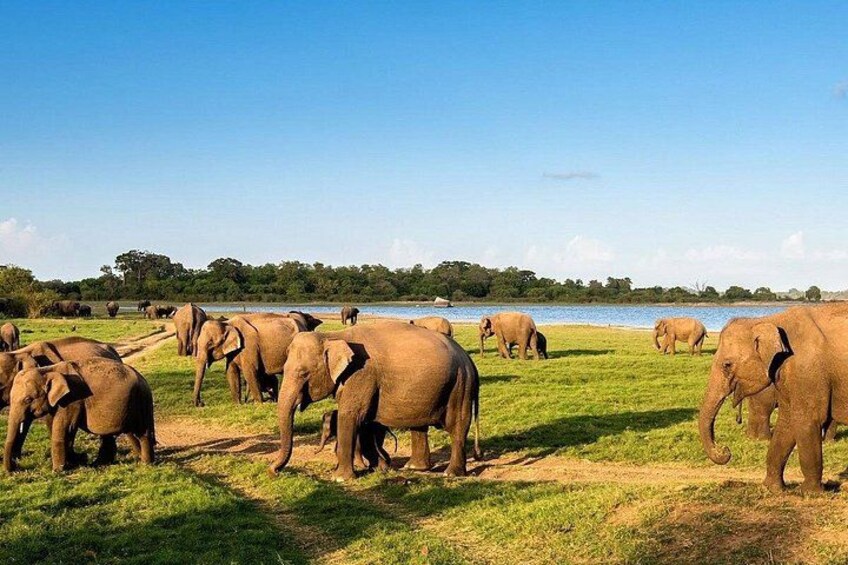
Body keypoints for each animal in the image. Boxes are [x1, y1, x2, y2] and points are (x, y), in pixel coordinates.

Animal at [4, 358, 155, 473]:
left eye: (28, 399)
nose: (16, 468)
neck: (48, 370)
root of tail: (144, 379)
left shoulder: (72, 399)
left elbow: (65, 429)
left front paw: (57, 471)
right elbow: (61, 429)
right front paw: (77, 461)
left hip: (142, 401)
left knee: (142, 432)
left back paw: (146, 464)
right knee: (127, 431)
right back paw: (103, 463)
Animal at [269, 321, 482, 481]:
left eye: (303, 374)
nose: (273, 471)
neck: (333, 335)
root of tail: (469, 361)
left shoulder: (362, 374)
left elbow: (350, 415)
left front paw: (340, 478)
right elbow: (366, 422)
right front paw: (379, 468)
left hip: (460, 385)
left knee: (457, 425)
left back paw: (451, 474)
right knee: (419, 425)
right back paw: (414, 468)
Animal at [699, 303, 848, 493]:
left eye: (727, 365)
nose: (725, 450)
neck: (768, 319)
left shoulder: (807, 370)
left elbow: (808, 419)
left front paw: (808, 492)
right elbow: (787, 421)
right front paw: (773, 489)